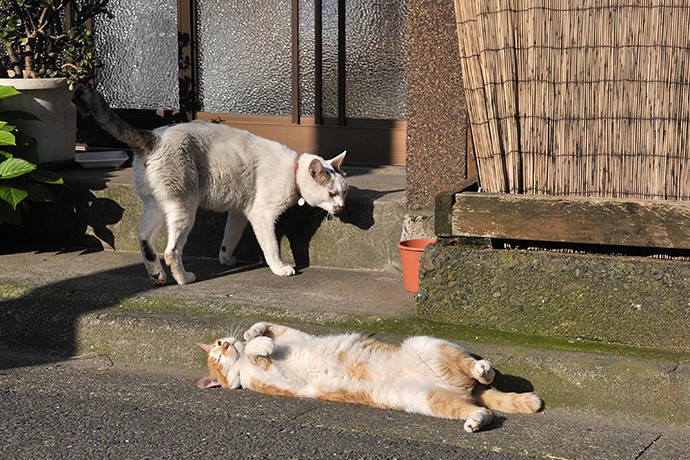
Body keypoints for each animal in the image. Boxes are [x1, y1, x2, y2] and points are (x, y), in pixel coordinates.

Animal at [72, 85, 346, 284]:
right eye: (332, 194)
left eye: (344, 193)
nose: (341, 207)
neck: (293, 170)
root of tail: (153, 137)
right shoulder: (262, 215)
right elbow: (271, 247)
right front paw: (280, 269)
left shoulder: (240, 212)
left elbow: (229, 238)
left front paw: (226, 259)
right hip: (184, 208)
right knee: (171, 250)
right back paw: (184, 279)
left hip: (157, 206)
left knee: (145, 240)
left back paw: (157, 276)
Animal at [196, 322, 540, 434]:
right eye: (216, 358)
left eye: (217, 344)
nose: (225, 345)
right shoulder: (265, 379)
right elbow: (259, 354)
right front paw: (258, 346)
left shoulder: (291, 334)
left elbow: (266, 328)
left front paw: (253, 334)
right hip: (427, 400)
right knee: (481, 409)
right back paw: (476, 420)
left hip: (426, 346)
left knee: (475, 369)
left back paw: (483, 369)